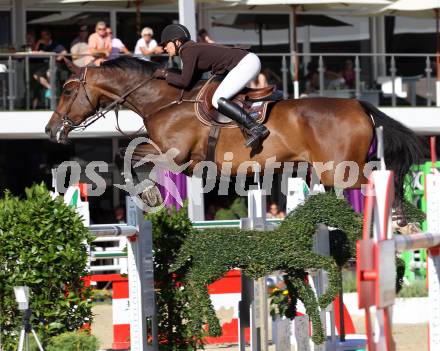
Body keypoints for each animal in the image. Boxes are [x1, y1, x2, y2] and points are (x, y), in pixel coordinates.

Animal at [44, 57, 422, 217]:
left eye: (67, 90)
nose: (50, 130)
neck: (163, 101)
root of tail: (358, 103)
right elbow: (130, 158)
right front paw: (150, 194)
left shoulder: (175, 155)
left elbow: (128, 158)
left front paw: (149, 194)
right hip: (330, 173)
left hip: (340, 172)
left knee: (378, 182)